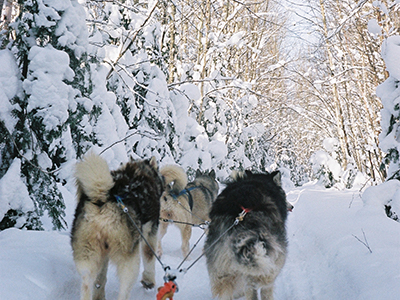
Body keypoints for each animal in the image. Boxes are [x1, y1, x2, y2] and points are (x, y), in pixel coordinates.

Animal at [70, 154, 180, 298]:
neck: (142, 171)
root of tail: (102, 199)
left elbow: (100, 279)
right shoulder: (150, 231)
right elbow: (149, 256)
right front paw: (148, 281)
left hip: (88, 256)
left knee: (88, 283)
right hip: (129, 262)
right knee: (124, 290)